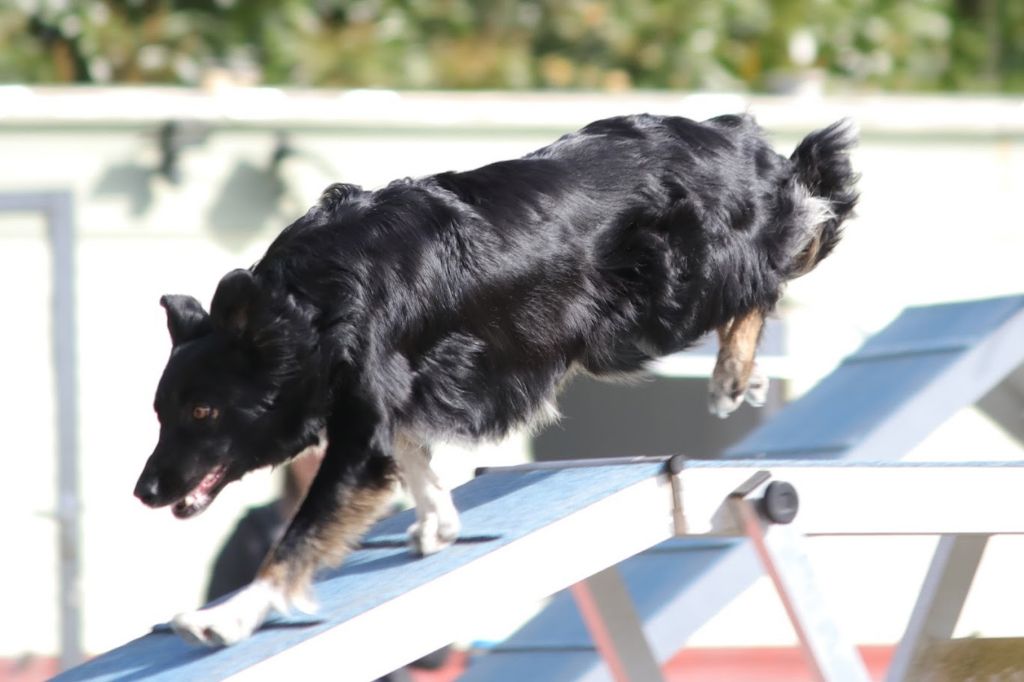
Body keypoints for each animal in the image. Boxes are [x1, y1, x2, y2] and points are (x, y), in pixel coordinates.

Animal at [134, 112, 856, 643]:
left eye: (202, 412)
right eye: (161, 414)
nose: (145, 491)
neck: (308, 306)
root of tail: (737, 135)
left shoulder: (363, 418)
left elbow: (302, 531)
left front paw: (229, 616)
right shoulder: (393, 396)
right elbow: (412, 455)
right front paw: (439, 522)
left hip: (654, 311)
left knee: (780, 259)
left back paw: (735, 370)